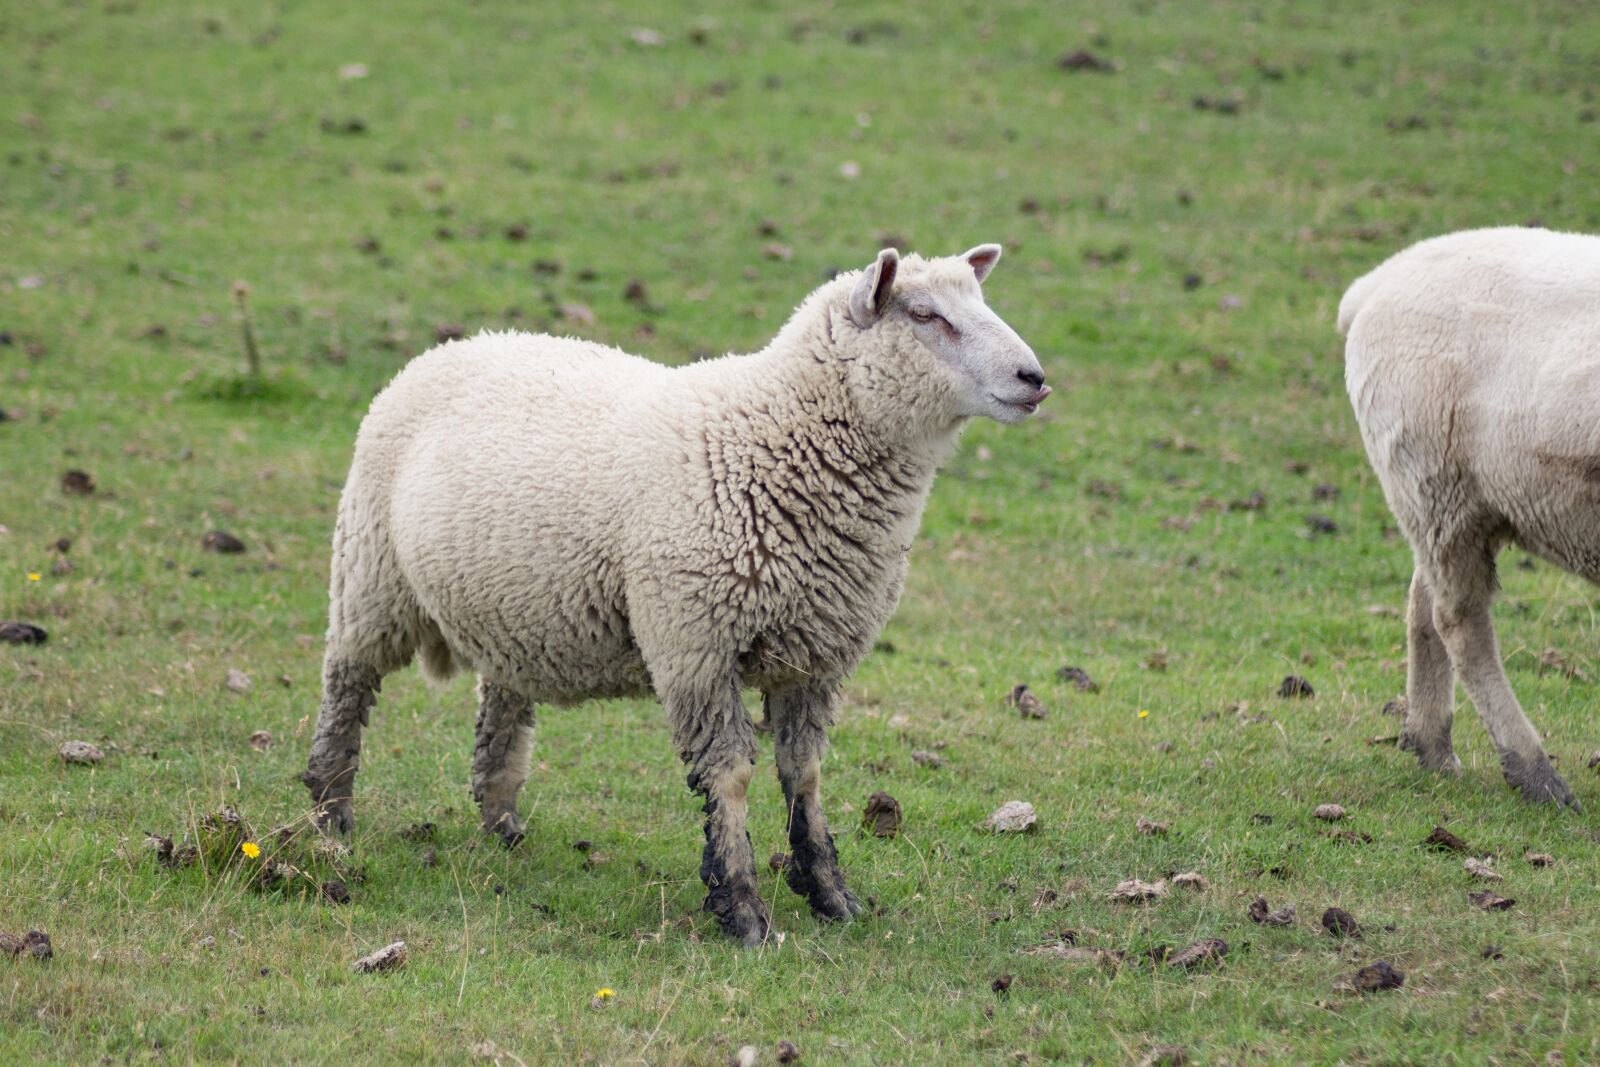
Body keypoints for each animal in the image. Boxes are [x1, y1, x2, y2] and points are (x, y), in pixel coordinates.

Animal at [302, 244, 1050, 944]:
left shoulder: (814, 656)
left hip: (512, 608)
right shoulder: (695, 644)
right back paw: (330, 810)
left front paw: (830, 894)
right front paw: (742, 909)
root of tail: (462, 342)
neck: (773, 435)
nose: (1034, 378)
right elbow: (731, 776)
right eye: (924, 316)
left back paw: (501, 820)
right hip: (370, 573)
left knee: (503, 707)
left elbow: (804, 774)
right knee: (348, 683)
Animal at [1339, 225, 1600, 809]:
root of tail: (1377, 282)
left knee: (1421, 602)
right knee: (1459, 622)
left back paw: (1430, 744)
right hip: (1439, 480)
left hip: (1452, 499)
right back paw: (1534, 772)